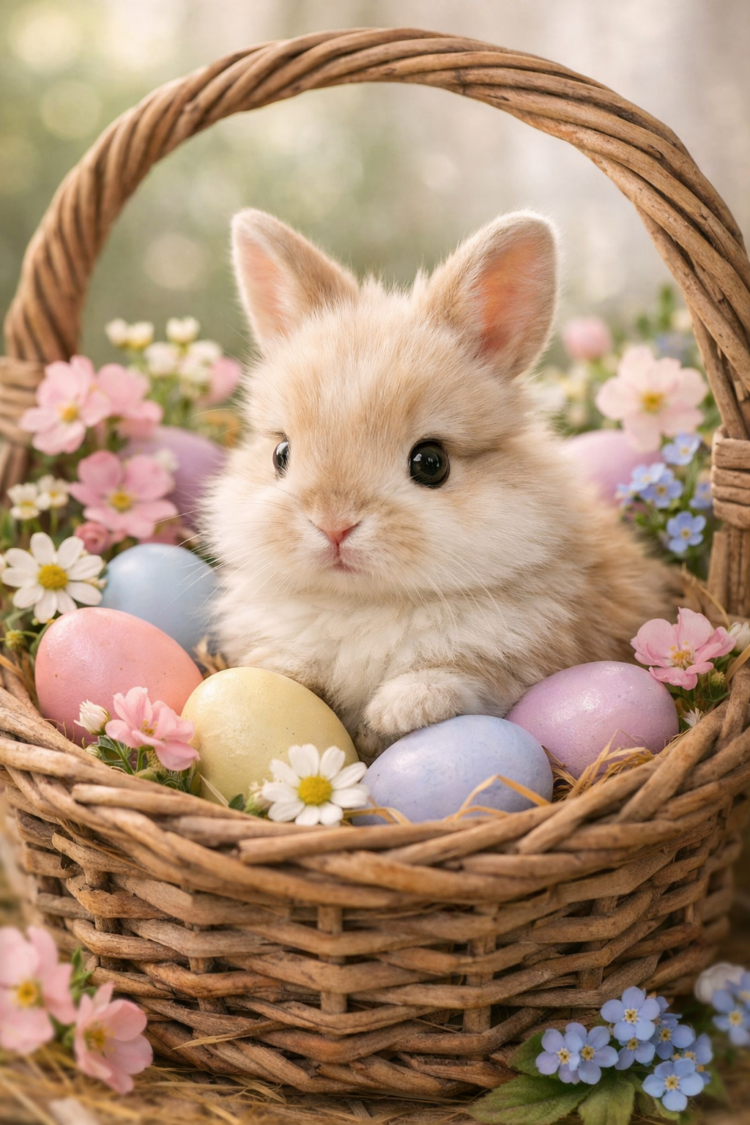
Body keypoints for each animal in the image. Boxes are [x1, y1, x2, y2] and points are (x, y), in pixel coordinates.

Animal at [204, 208, 678, 761]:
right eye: (281, 454)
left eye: (430, 463)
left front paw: (397, 711)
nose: (334, 525)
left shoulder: (519, 664)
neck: (367, 603)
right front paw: (282, 672)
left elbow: (461, 680)